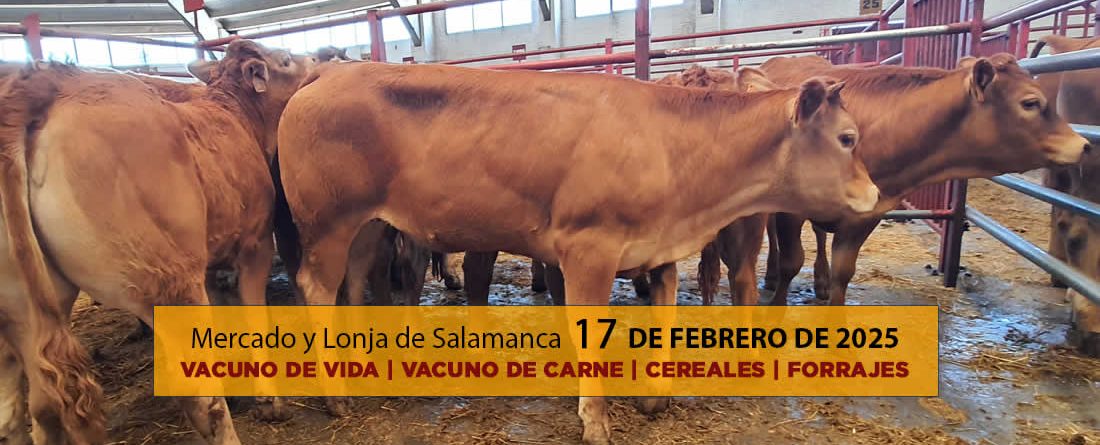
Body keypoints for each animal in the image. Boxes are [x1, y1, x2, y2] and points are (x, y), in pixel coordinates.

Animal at [0, 40, 314, 444]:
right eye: (286, 60)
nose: (319, 57)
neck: (237, 116)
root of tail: (42, 85)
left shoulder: (212, 262)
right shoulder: (255, 245)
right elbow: (253, 320)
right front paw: (268, 401)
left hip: (22, 307)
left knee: (32, 407)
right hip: (169, 280)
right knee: (200, 397)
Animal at [277, 60, 880, 444]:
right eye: (848, 138)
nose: (875, 194)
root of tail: (326, 74)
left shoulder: (659, 250)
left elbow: (665, 320)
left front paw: (654, 399)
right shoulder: (589, 248)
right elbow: (590, 338)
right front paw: (596, 422)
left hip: (367, 226)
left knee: (352, 284)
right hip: (328, 224)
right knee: (316, 288)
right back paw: (336, 396)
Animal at [698, 53, 1089, 308]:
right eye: (1030, 103)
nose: (1083, 144)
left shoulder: (867, 216)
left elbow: (844, 272)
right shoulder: (790, 213)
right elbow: (792, 260)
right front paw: (778, 307)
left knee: (821, 238)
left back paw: (819, 280)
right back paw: (772, 276)